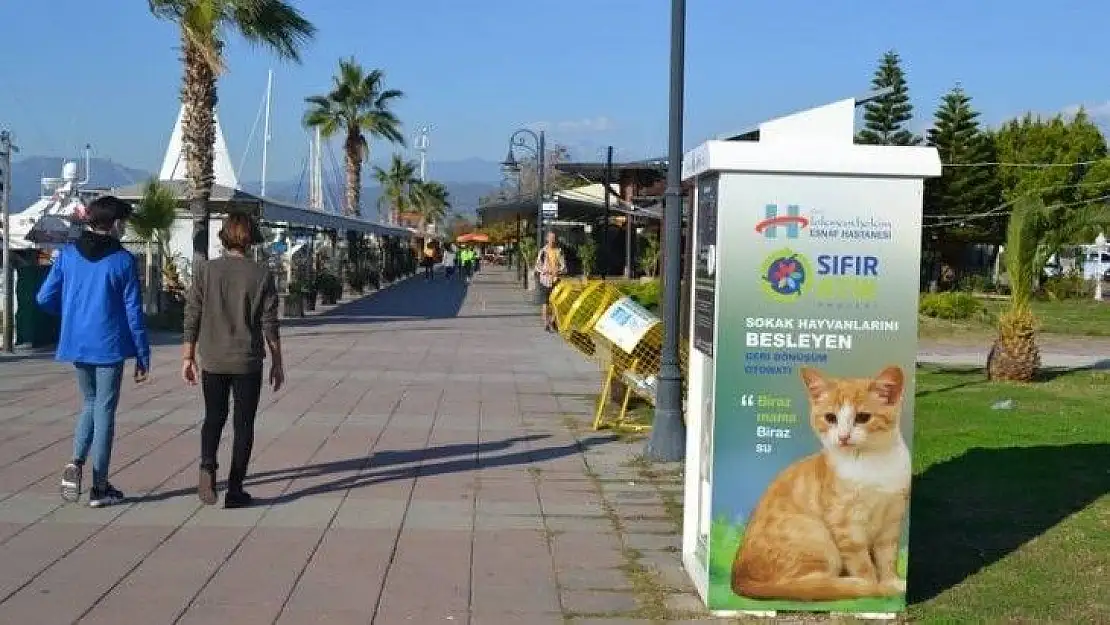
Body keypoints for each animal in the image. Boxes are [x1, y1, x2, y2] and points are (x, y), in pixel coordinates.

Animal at [728, 366, 910, 599]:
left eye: (863, 417)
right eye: (830, 417)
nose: (843, 437)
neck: (871, 463)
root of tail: (738, 579)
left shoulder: (891, 521)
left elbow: (887, 557)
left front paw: (891, 581)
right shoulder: (844, 524)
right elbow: (862, 564)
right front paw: (873, 585)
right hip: (817, 537)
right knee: (805, 586)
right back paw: (846, 583)